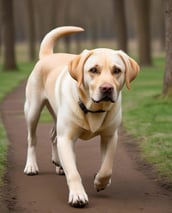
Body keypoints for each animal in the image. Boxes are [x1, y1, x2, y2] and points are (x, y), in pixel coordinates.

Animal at [23, 26, 140, 208]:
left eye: (117, 70)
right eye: (93, 70)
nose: (107, 88)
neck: (93, 109)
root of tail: (48, 56)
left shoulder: (110, 136)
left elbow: (107, 166)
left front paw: (101, 181)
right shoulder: (67, 137)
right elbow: (73, 171)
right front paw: (78, 195)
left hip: (56, 116)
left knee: (53, 135)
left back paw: (58, 163)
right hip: (32, 110)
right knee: (32, 139)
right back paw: (31, 166)